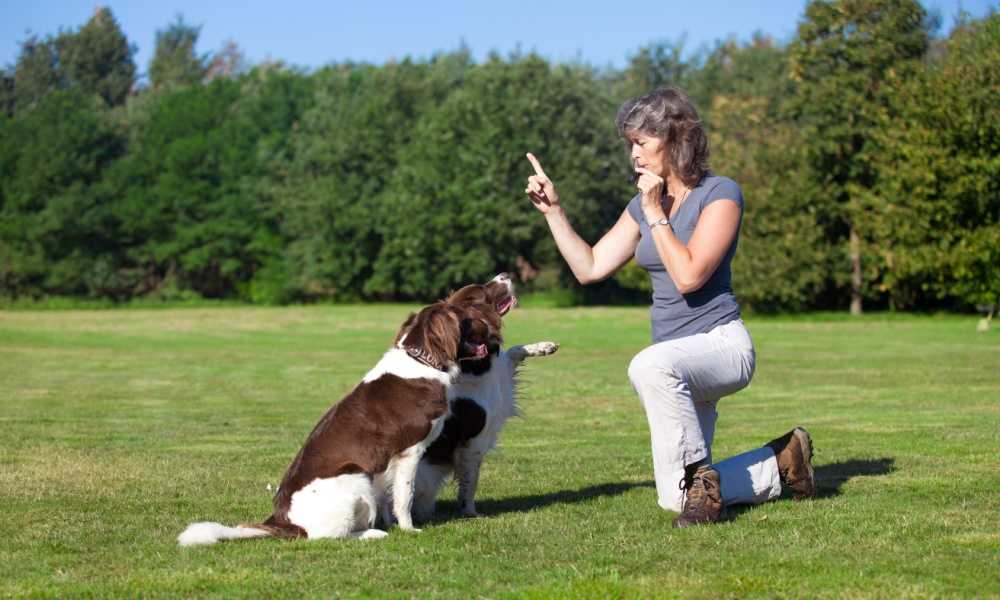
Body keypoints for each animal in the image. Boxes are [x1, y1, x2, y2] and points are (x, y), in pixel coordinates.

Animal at [182, 302, 494, 548]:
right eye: (466, 318)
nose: (491, 328)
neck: (422, 361)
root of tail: (284, 522)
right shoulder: (410, 451)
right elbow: (405, 495)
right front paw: (408, 528)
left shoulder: (384, 461)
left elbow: (387, 495)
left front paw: (391, 522)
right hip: (354, 479)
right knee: (326, 536)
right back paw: (372, 534)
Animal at [408, 274, 564, 520]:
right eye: (482, 289)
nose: (505, 274)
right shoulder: (473, 442)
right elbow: (470, 483)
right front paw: (470, 512)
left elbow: (514, 350)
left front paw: (544, 347)